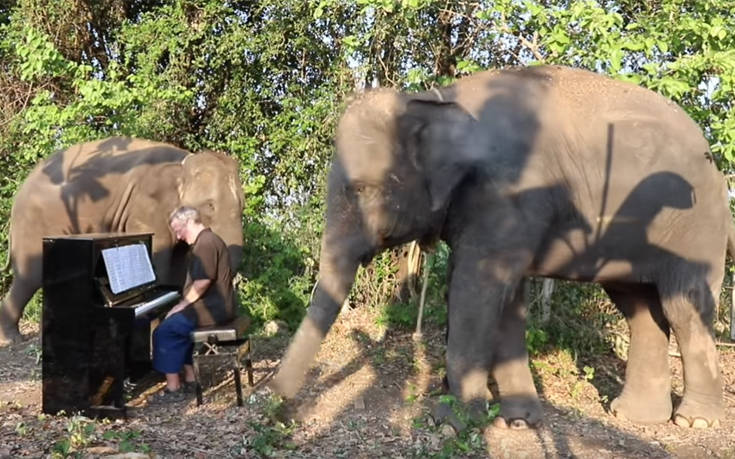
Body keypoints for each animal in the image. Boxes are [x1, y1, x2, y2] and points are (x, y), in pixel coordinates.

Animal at [0, 137, 247, 344]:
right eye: (210, 205)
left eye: (242, 206)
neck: (181, 164)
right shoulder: (146, 211)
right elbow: (159, 260)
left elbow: (177, 266)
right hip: (34, 224)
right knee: (30, 276)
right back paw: (11, 340)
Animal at [272, 65, 735, 432]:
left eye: (362, 189)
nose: (278, 406)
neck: (438, 99)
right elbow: (504, 299)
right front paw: (518, 420)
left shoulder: (508, 194)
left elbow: (477, 290)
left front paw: (452, 422)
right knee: (639, 308)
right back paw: (634, 417)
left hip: (696, 227)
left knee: (682, 305)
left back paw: (695, 421)